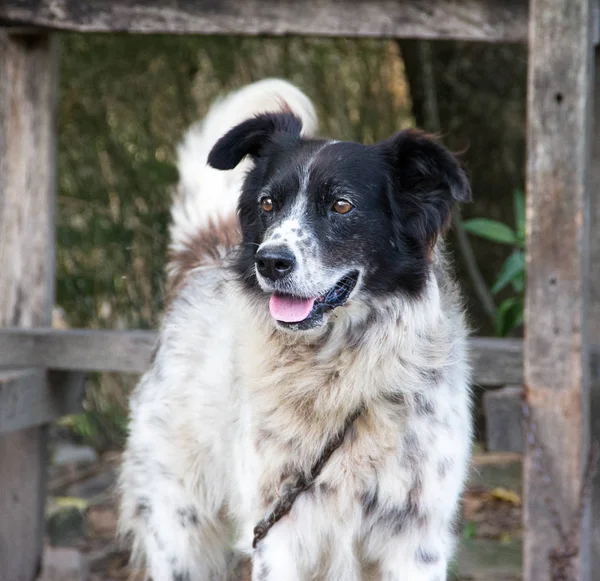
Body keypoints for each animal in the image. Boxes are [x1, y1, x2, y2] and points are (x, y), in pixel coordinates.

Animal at [118, 78, 474, 580]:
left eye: (342, 205)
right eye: (268, 203)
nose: (270, 261)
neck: (336, 373)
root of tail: (202, 265)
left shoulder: (417, 538)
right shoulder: (278, 531)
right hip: (179, 532)